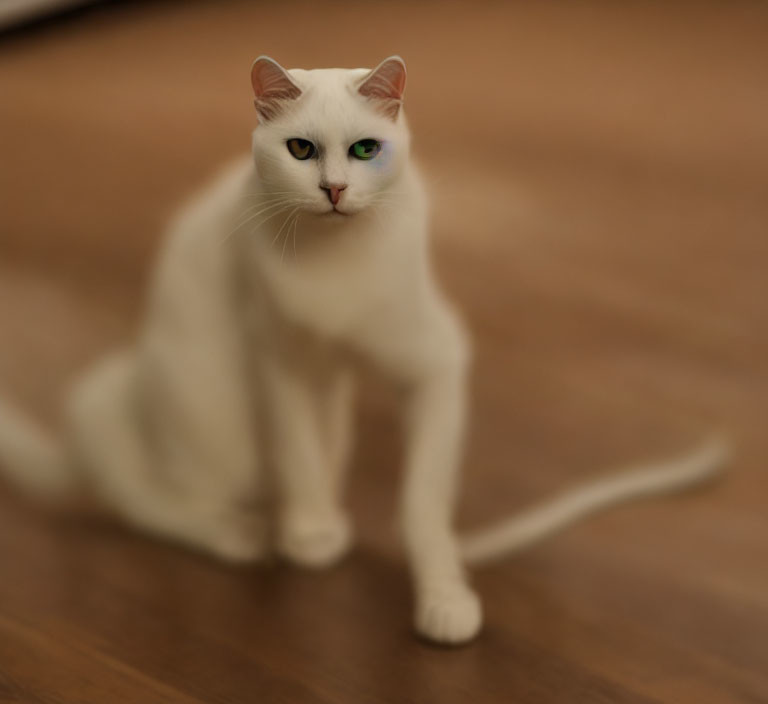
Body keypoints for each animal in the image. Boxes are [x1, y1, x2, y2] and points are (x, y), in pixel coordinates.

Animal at [0, 57, 728, 648]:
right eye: (300, 149)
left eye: (364, 149)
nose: (333, 190)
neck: (335, 262)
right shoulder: (282, 359)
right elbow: (299, 453)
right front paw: (311, 535)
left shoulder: (433, 365)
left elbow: (420, 504)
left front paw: (442, 599)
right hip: (168, 413)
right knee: (145, 498)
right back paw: (242, 535)